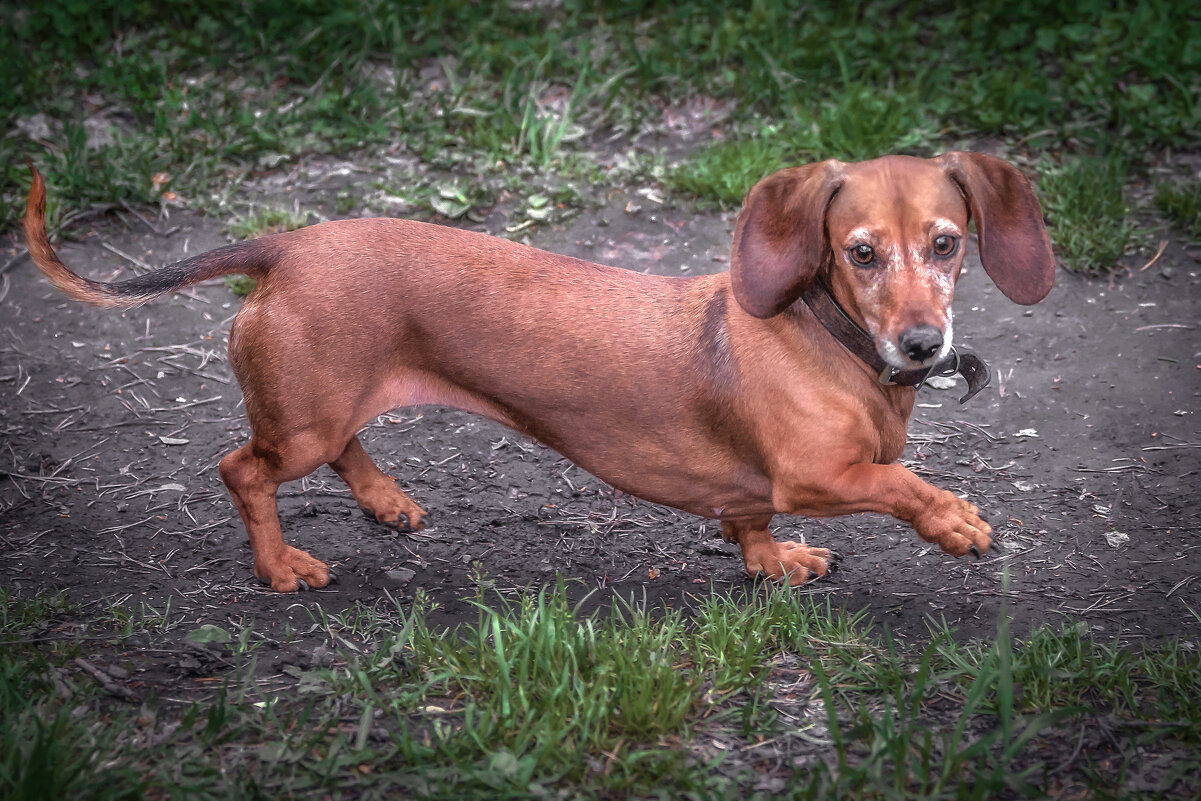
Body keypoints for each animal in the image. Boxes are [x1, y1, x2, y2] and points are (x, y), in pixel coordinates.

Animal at [21, 154, 1052, 595]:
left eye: (947, 243)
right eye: (860, 252)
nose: (921, 345)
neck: (830, 339)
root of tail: (289, 247)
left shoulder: (761, 488)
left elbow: (749, 525)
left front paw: (776, 563)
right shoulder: (819, 475)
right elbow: (899, 483)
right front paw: (954, 520)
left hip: (322, 405)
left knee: (339, 449)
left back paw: (387, 502)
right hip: (301, 420)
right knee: (244, 471)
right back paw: (280, 567)